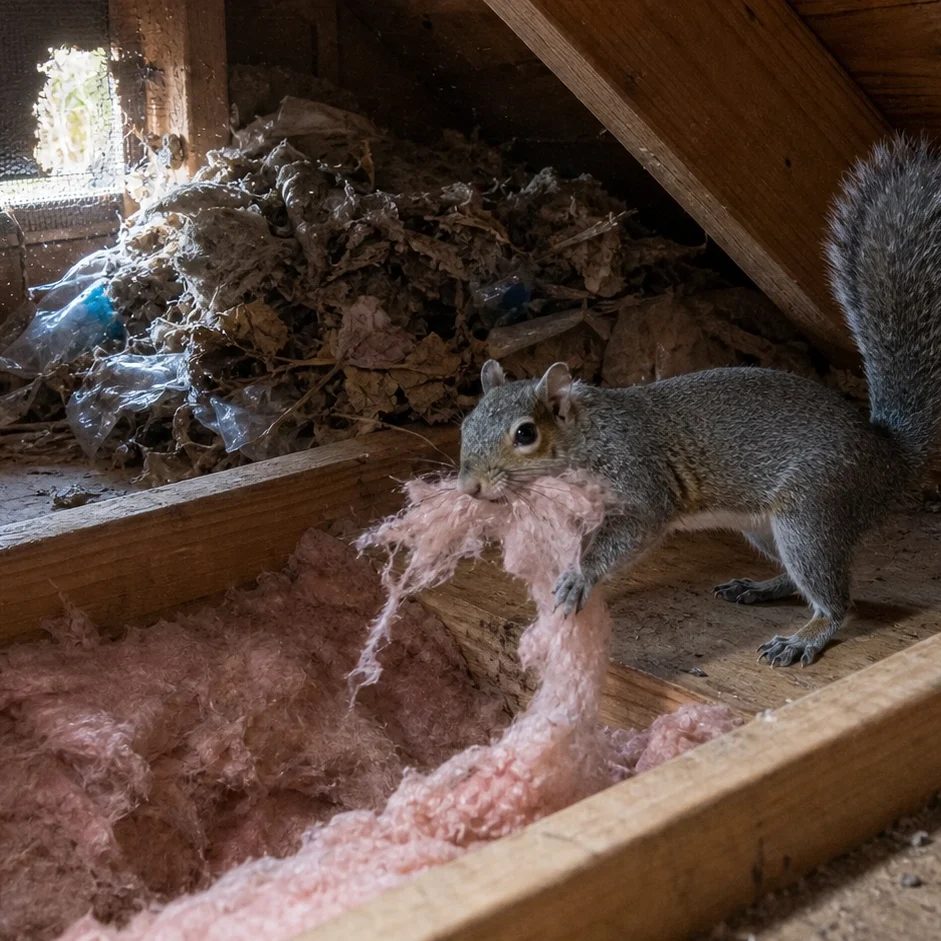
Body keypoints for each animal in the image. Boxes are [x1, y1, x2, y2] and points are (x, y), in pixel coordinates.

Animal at [457, 134, 941, 668]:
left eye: (525, 434)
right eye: (465, 425)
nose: (469, 488)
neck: (588, 435)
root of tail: (889, 459)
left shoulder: (639, 479)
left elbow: (632, 531)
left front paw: (580, 577)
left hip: (811, 513)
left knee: (834, 600)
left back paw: (805, 636)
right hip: (766, 527)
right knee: (799, 581)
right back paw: (762, 587)